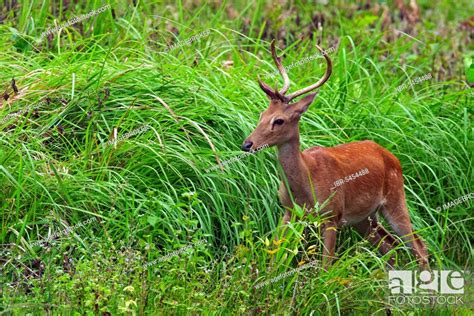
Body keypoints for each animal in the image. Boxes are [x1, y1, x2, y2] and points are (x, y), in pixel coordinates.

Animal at [243, 38, 428, 268]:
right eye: (262, 114)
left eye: (279, 120)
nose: (247, 144)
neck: (306, 182)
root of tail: (391, 156)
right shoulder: (289, 212)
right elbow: (275, 258)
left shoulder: (332, 215)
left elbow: (325, 266)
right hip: (364, 218)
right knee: (390, 247)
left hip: (395, 199)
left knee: (419, 247)